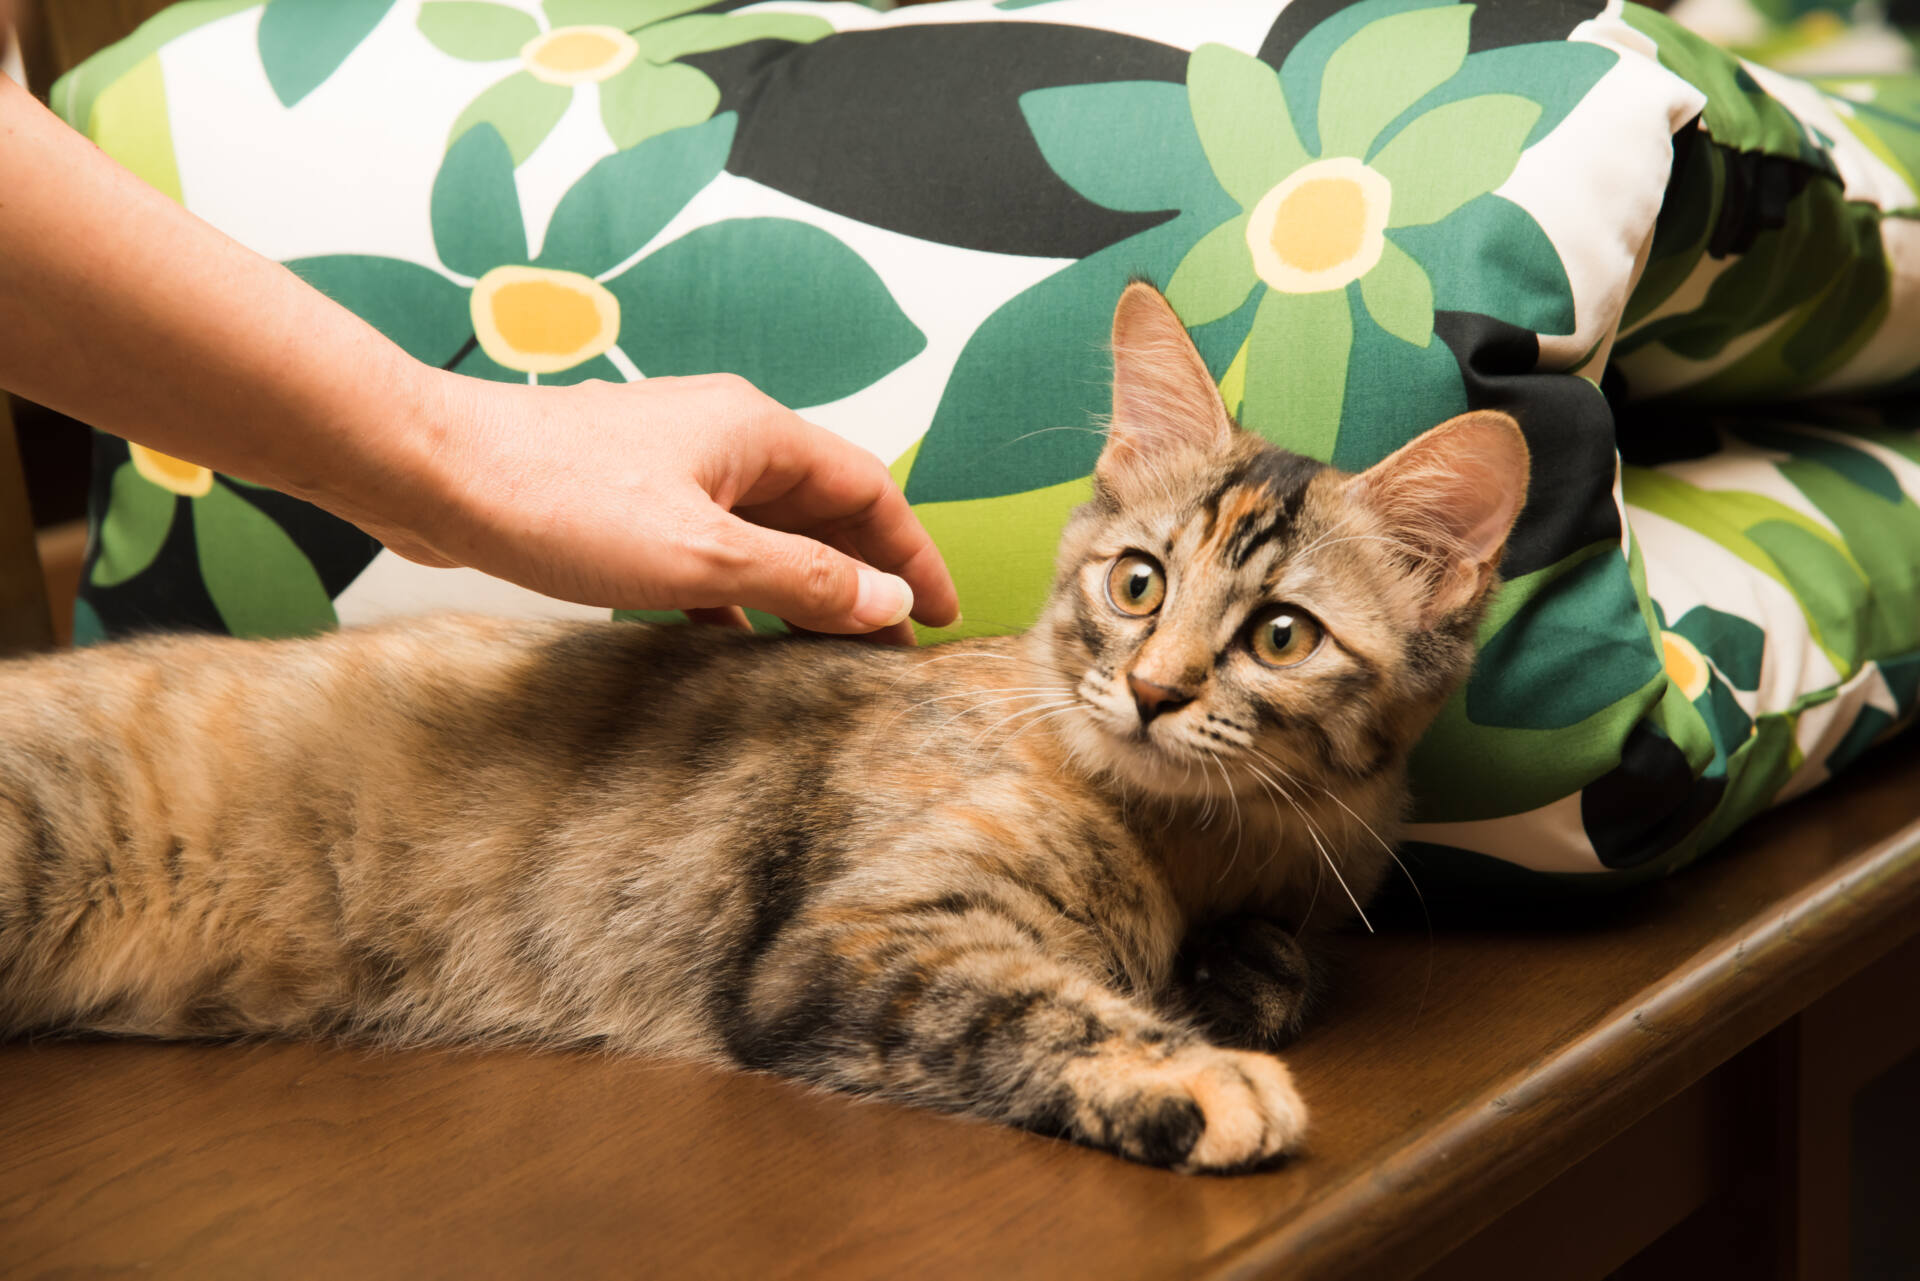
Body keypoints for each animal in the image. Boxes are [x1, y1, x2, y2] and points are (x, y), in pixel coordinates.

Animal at [0, 283, 1527, 1172]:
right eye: (1138, 582)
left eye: (1281, 636)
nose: (1155, 692)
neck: (1198, 846)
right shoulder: (857, 941)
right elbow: (1041, 1003)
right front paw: (1197, 1076)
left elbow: (1276, 961)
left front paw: (1225, 981)